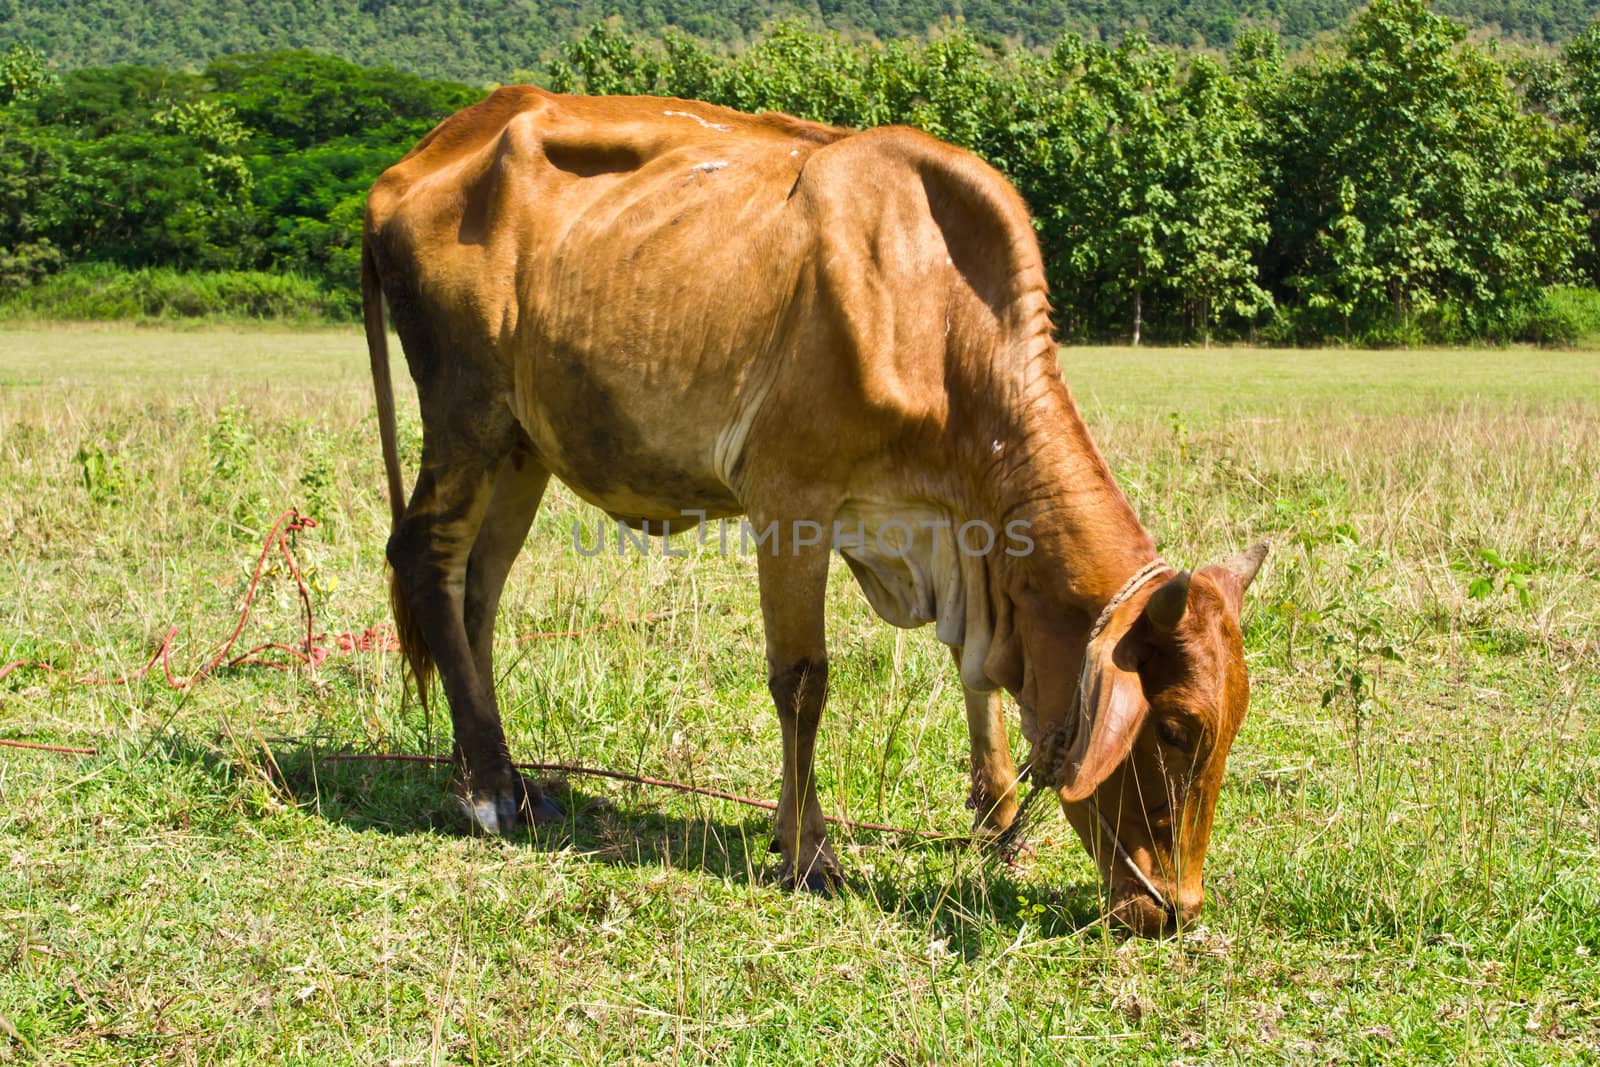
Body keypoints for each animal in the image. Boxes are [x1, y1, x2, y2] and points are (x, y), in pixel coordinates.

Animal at [363, 85, 1260, 934]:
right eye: (1176, 728)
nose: (1176, 909)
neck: (938, 324)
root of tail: (425, 155)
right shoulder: (790, 503)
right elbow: (801, 682)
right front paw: (808, 851)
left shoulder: (956, 535)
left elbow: (972, 673)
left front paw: (998, 817)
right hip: (465, 411)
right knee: (426, 559)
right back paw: (487, 785)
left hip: (522, 446)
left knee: (478, 592)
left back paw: (503, 778)